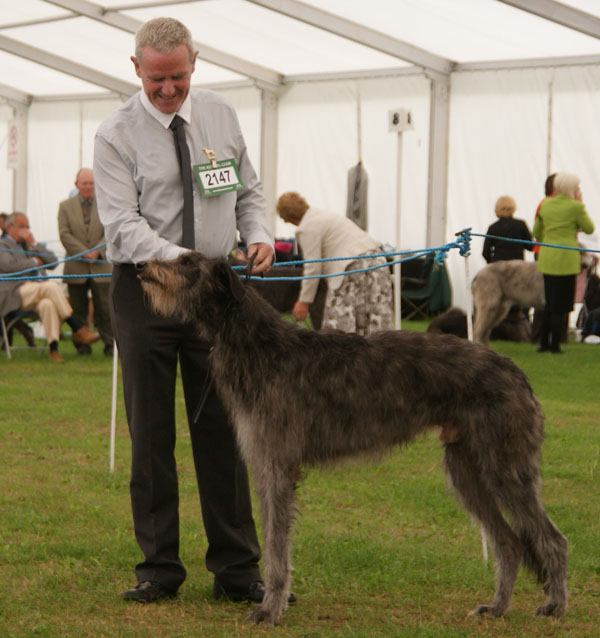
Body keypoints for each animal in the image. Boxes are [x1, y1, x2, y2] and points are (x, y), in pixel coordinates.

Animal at [138, 252, 568, 628]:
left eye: (187, 262)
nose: (140, 265)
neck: (260, 345)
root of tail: (516, 372)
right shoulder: (263, 464)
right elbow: (274, 542)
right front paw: (271, 605)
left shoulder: (276, 464)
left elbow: (277, 549)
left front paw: (270, 610)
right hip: (466, 469)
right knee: (510, 543)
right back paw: (497, 608)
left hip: (505, 466)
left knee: (553, 540)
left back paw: (554, 606)